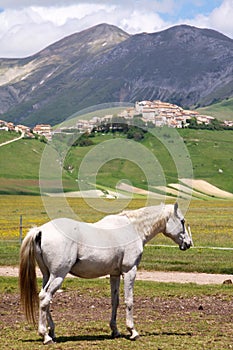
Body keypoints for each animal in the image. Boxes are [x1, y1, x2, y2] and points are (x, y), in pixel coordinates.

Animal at [19, 204, 192, 344]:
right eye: (182, 221)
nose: (189, 243)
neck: (133, 228)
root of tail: (40, 230)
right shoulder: (130, 271)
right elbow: (129, 301)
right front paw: (133, 331)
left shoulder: (114, 274)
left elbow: (115, 301)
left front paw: (115, 331)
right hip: (58, 275)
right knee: (45, 298)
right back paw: (45, 336)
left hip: (48, 275)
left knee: (44, 298)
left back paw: (52, 332)